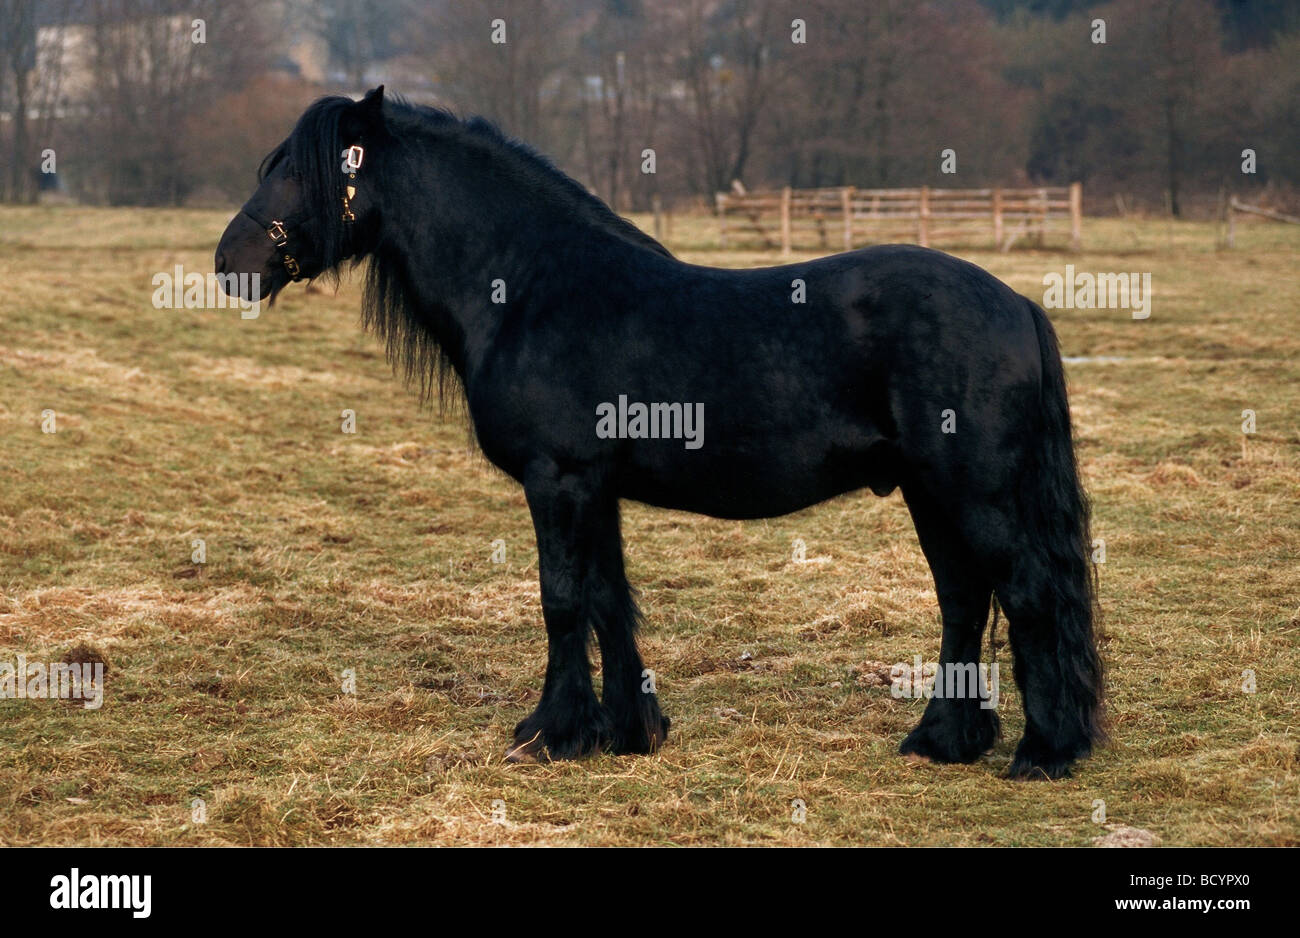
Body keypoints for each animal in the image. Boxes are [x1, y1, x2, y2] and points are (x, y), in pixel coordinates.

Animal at [218, 87, 1102, 774]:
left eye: (303, 169)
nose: (230, 263)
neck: (531, 287)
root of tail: (1017, 304)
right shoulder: (593, 487)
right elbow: (610, 600)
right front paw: (628, 731)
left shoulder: (559, 479)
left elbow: (563, 600)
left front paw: (551, 734)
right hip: (930, 492)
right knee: (963, 599)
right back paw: (942, 739)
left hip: (973, 493)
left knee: (1025, 592)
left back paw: (1044, 752)